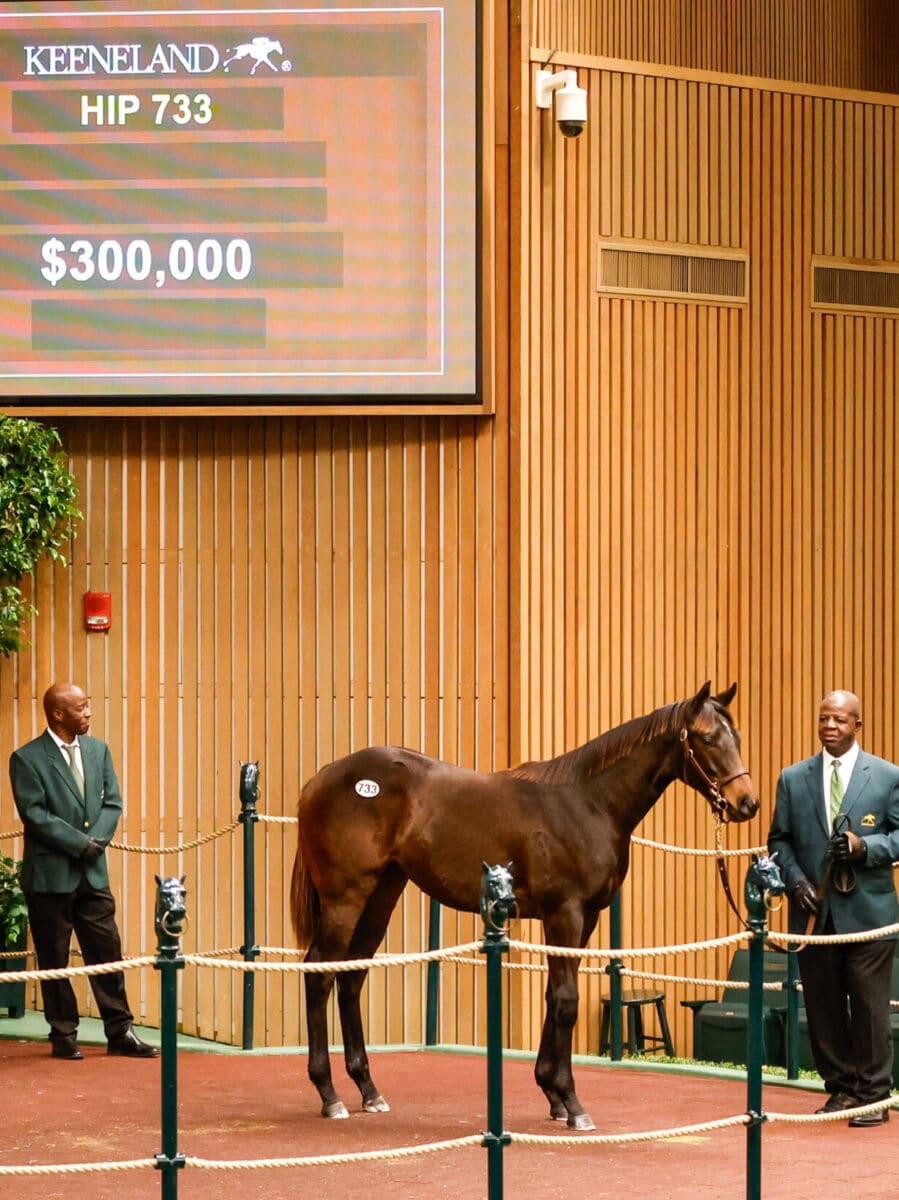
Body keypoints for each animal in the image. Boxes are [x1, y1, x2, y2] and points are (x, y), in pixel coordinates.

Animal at [292, 681, 758, 1128]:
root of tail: (320, 779)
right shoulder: (564, 913)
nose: (747, 803)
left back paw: (368, 1090)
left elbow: (553, 996)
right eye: (707, 739)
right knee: (319, 973)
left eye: (737, 735)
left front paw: (552, 1093)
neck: (589, 803)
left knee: (351, 977)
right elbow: (567, 1001)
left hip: (381, 896)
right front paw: (572, 1102)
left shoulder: (586, 918)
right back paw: (329, 1094)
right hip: (345, 898)